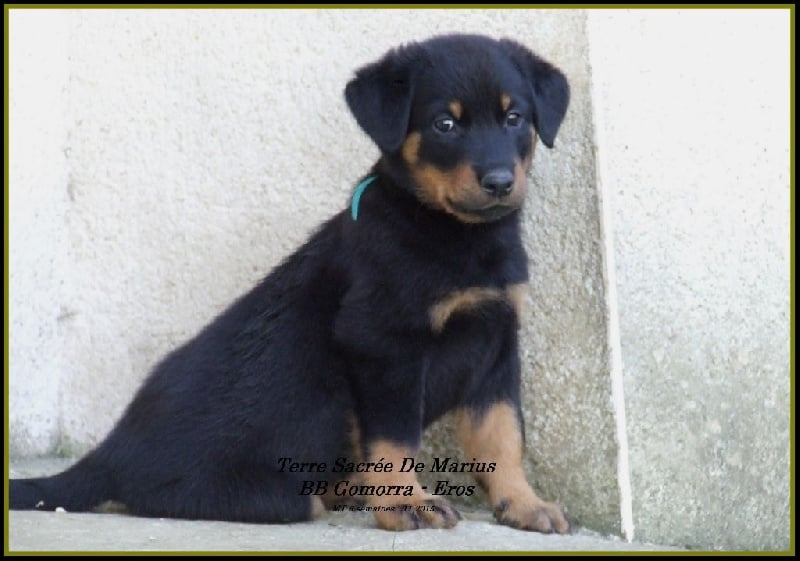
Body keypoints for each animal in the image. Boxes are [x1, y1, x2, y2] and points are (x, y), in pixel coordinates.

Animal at [6, 35, 568, 532]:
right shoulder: (384, 344)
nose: (499, 182)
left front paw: (523, 504)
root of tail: (109, 453)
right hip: (291, 464)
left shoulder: (496, 342)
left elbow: (502, 434)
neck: (456, 236)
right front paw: (405, 505)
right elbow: (396, 440)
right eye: (444, 124)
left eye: (514, 118)